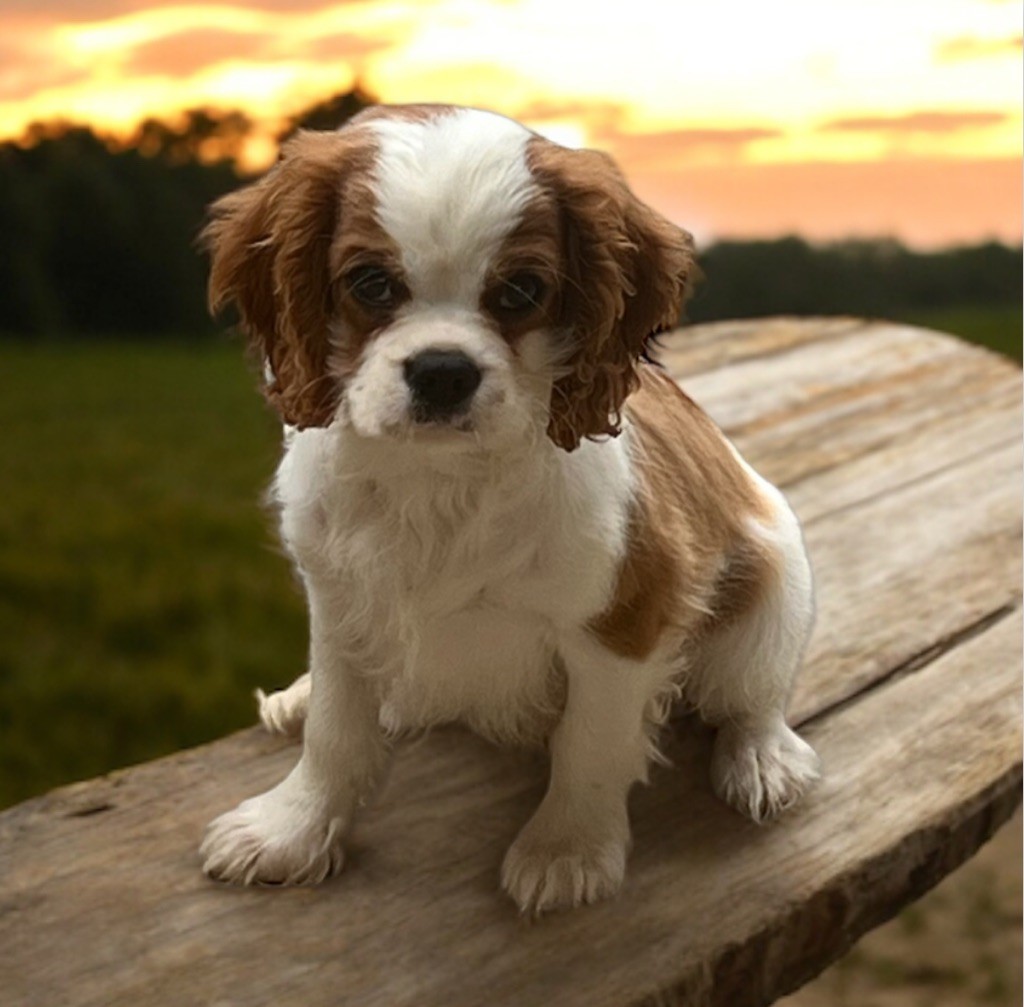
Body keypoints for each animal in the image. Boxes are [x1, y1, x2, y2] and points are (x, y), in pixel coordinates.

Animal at [201, 102, 823, 913]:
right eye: (370, 283)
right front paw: (293, 828)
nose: (443, 370)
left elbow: (590, 744)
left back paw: (761, 758)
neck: (438, 479)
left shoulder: (622, 623)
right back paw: (299, 698)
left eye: (522, 292)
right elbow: (337, 731)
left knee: (753, 695)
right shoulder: (340, 597)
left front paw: (567, 849)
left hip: (776, 589)